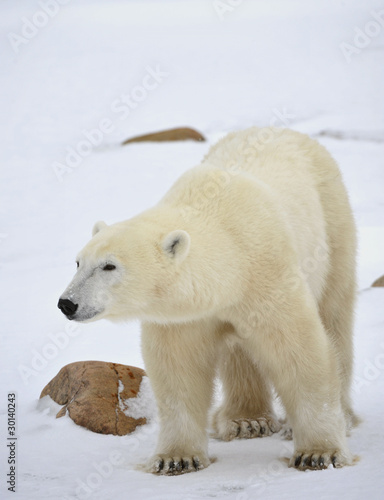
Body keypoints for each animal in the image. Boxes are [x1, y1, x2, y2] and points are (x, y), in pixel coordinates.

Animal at [58, 127, 358, 474]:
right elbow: (179, 370)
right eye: (78, 262)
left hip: (333, 222)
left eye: (109, 266)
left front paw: (319, 453)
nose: (67, 303)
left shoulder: (269, 276)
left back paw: (341, 414)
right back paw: (246, 420)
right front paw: (176, 458)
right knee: (238, 351)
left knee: (335, 312)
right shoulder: (183, 315)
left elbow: (299, 351)